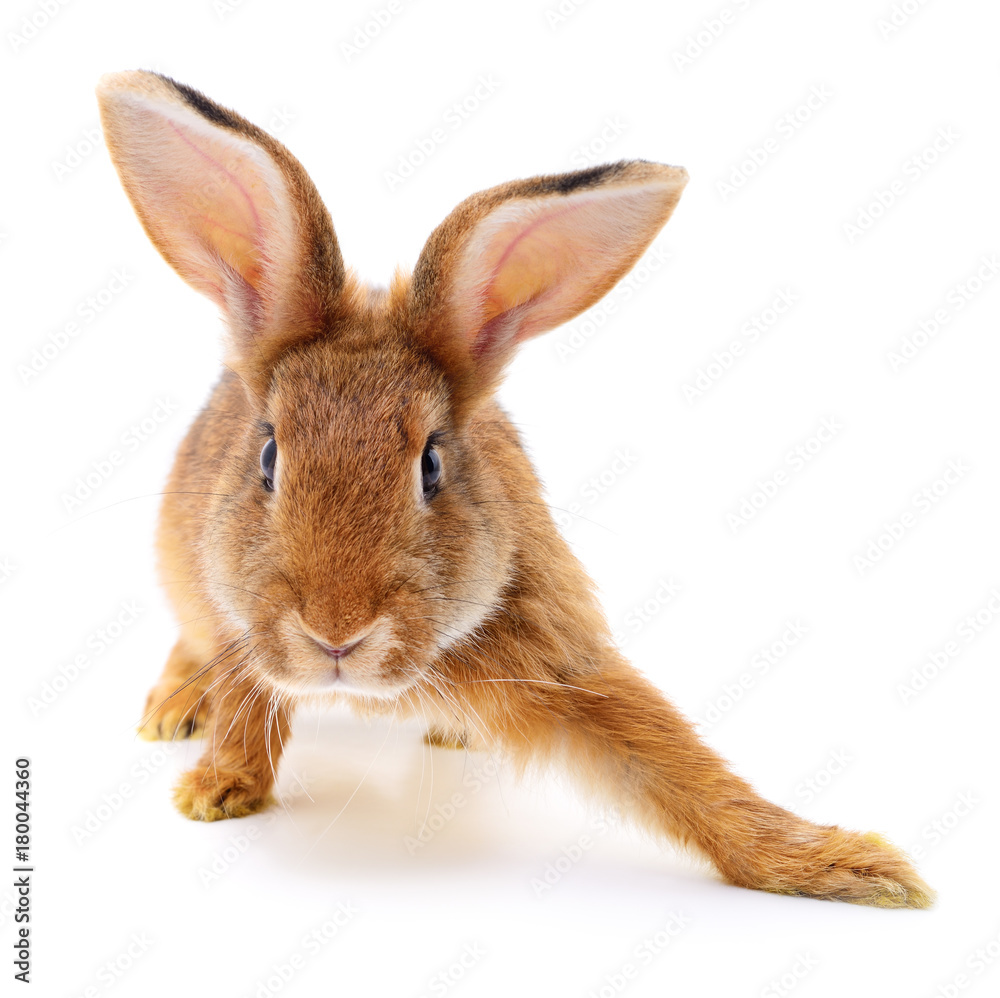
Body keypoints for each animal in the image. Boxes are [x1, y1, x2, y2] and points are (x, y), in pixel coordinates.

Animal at [97, 69, 933, 908]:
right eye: (269, 456)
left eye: (431, 465)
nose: (337, 633)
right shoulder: (238, 625)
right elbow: (247, 708)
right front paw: (215, 791)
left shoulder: (558, 653)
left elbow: (676, 768)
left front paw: (852, 868)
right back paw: (172, 711)